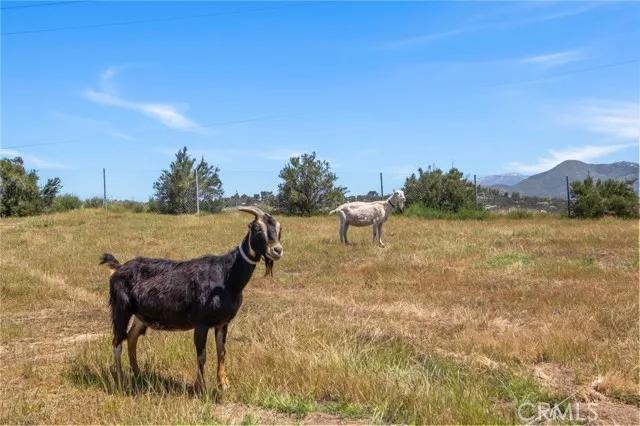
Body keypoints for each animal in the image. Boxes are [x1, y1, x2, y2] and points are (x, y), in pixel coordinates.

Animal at [99, 207, 282, 392]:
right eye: (257, 228)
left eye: (279, 229)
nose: (277, 250)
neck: (227, 275)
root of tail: (119, 267)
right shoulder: (201, 323)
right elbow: (202, 355)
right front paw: (200, 387)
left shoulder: (223, 322)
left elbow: (221, 352)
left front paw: (224, 384)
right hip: (121, 308)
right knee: (117, 341)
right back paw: (120, 379)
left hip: (140, 315)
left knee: (131, 337)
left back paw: (137, 373)